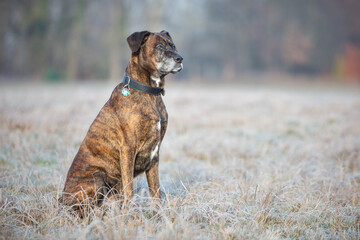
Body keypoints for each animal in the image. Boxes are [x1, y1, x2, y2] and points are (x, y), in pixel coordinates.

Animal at [61, 30, 183, 212]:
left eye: (173, 46)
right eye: (159, 46)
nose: (180, 58)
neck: (149, 93)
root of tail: (61, 199)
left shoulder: (154, 156)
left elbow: (156, 191)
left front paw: (158, 213)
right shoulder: (128, 149)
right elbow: (130, 190)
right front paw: (130, 214)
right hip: (98, 177)